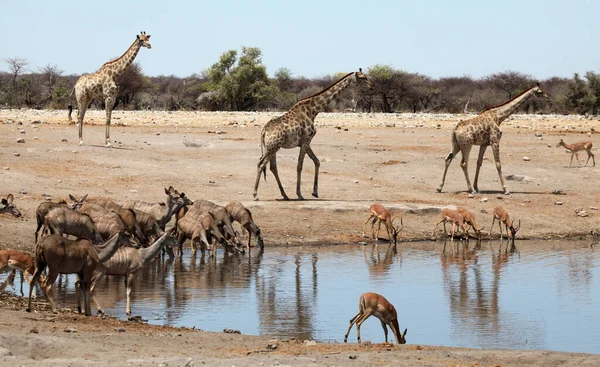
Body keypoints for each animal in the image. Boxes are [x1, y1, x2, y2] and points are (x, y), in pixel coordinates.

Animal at [252, 69, 370, 201]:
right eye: (362, 77)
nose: (371, 86)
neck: (313, 110)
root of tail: (264, 131)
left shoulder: (305, 142)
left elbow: (317, 161)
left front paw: (315, 192)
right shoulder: (306, 140)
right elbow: (300, 165)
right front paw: (300, 194)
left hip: (273, 147)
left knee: (272, 167)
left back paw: (285, 195)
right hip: (272, 147)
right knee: (261, 164)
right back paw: (255, 194)